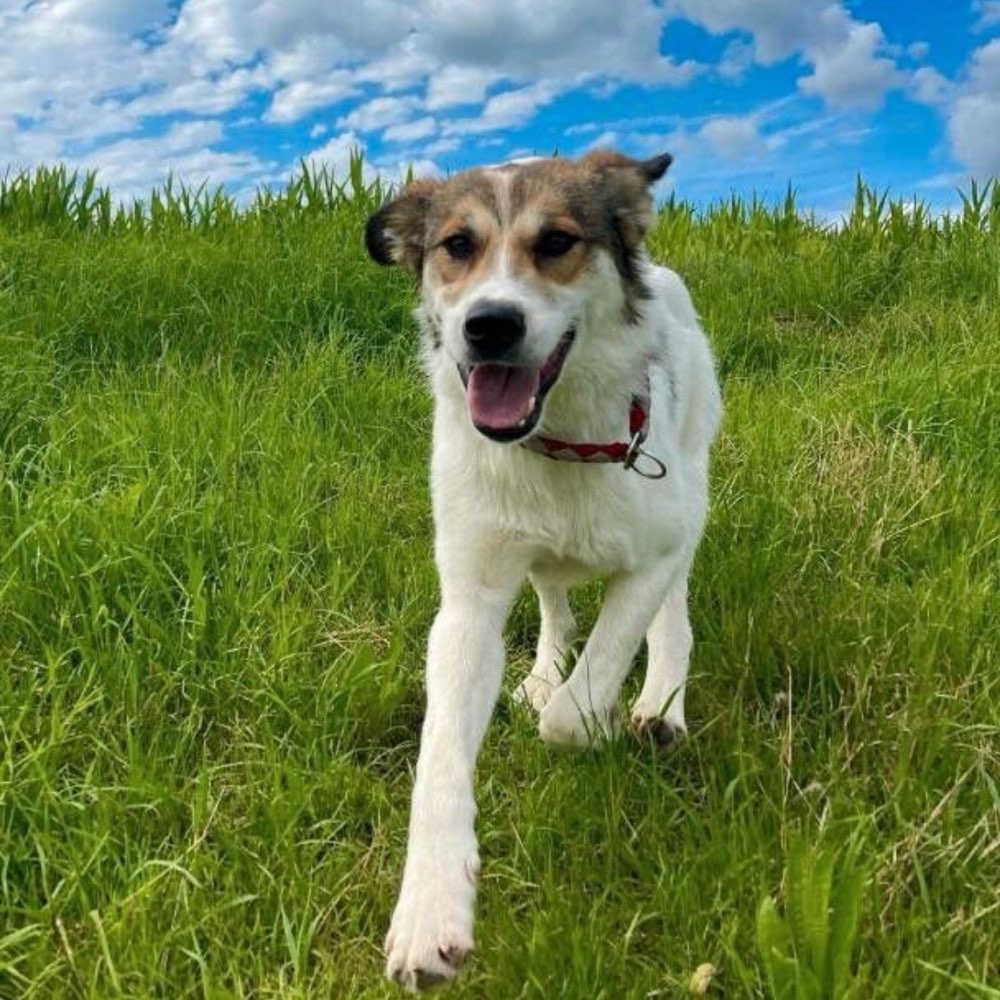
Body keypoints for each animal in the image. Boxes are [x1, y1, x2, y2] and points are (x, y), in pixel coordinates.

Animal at [364, 152, 724, 988]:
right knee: (555, 599)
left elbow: (592, 681)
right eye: (457, 246)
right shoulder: (468, 601)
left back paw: (660, 707)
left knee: (673, 614)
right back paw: (541, 670)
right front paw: (429, 909)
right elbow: (439, 763)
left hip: (692, 478)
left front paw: (594, 718)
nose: (490, 325)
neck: (559, 443)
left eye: (557, 241)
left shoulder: (657, 546)